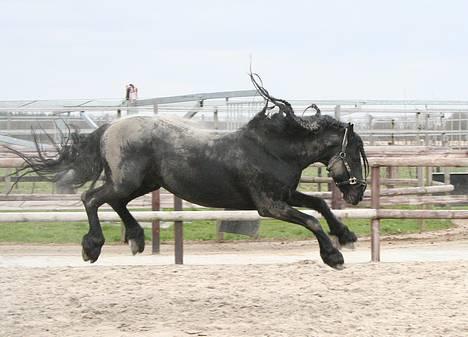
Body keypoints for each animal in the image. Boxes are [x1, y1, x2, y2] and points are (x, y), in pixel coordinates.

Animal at [11, 77, 368, 268]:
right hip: (127, 182)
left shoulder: (286, 194)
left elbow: (319, 204)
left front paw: (347, 236)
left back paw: (136, 238)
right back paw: (92, 247)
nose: (358, 192)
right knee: (91, 198)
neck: (273, 149)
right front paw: (334, 255)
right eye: (352, 152)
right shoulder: (270, 205)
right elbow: (311, 220)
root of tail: (109, 127)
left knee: (112, 202)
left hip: (142, 184)